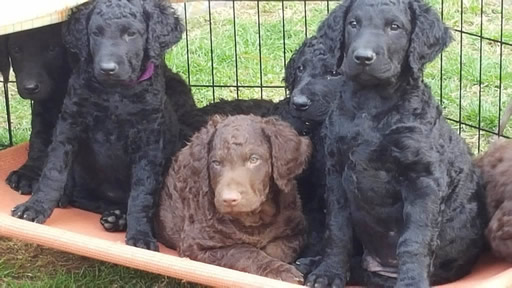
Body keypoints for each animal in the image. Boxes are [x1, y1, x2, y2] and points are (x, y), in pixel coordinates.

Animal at [3, 22, 71, 195]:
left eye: (52, 48)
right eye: (16, 50)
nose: (30, 87)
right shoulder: (41, 111)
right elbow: (38, 141)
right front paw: (28, 173)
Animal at [10, 0, 184, 251]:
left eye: (131, 34)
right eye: (96, 33)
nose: (107, 68)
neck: (115, 93)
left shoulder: (149, 143)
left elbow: (142, 193)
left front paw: (140, 236)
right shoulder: (69, 126)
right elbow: (52, 173)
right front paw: (35, 207)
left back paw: (120, 219)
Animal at [155, 114, 312, 284]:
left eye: (254, 159)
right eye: (216, 163)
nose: (229, 199)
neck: (254, 219)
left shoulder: (297, 231)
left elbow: (278, 249)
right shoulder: (195, 244)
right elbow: (243, 251)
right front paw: (280, 270)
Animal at [300, 1, 488, 286]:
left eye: (395, 27)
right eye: (353, 24)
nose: (362, 57)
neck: (371, 105)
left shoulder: (423, 181)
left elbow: (414, 240)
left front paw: (411, 282)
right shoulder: (335, 173)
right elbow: (338, 228)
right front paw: (328, 272)